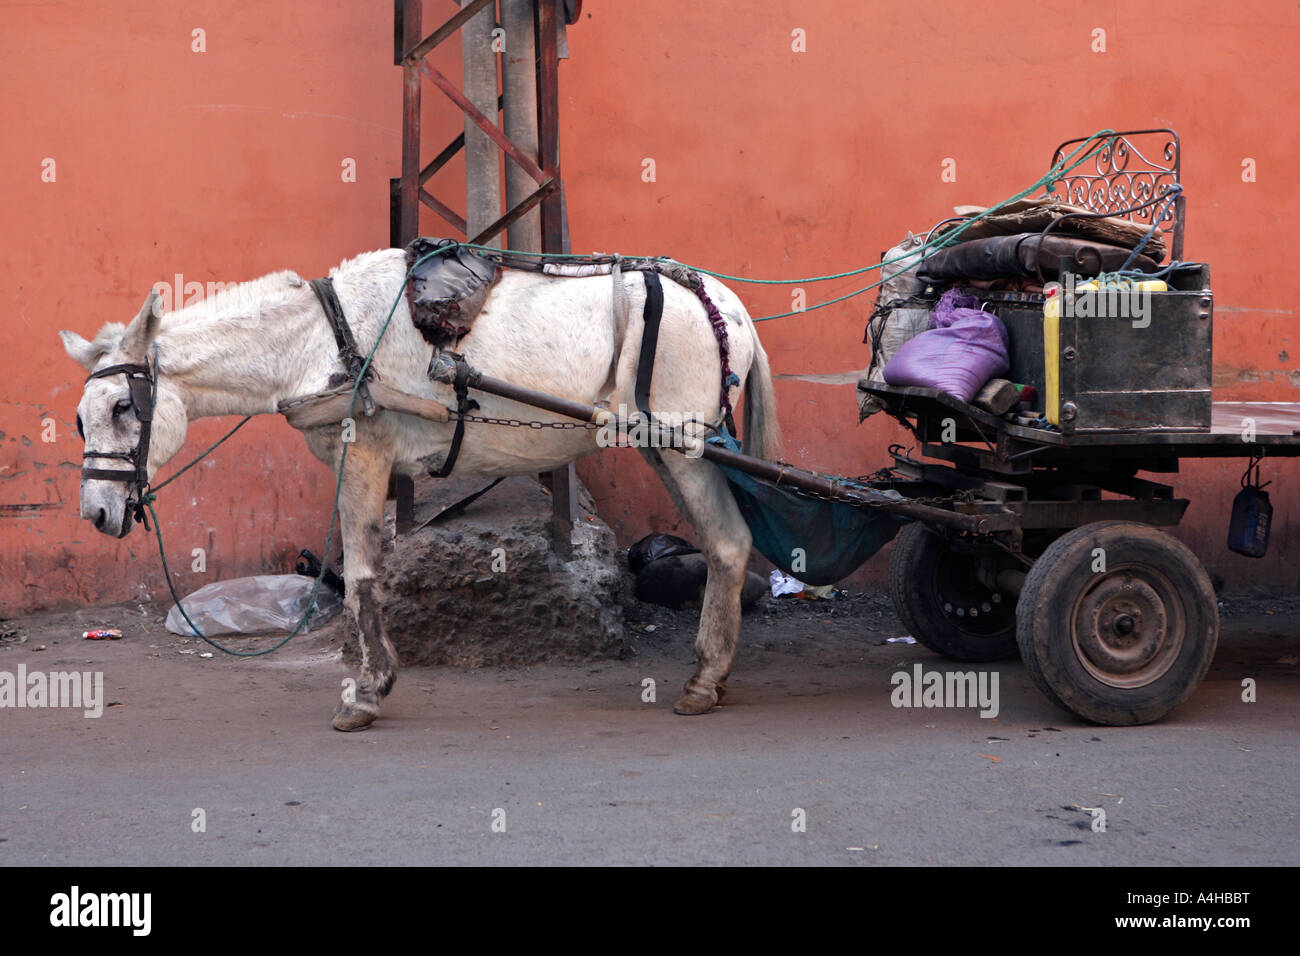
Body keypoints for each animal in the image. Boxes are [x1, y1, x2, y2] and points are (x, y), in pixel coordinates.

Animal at [59, 248, 780, 731]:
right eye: (80, 419)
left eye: (122, 407)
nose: (96, 512)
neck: (320, 340)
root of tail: (727, 305)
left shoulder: (363, 454)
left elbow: (360, 576)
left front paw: (367, 692)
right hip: (665, 446)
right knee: (725, 544)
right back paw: (710, 674)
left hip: (683, 446)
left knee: (728, 543)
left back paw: (706, 677)